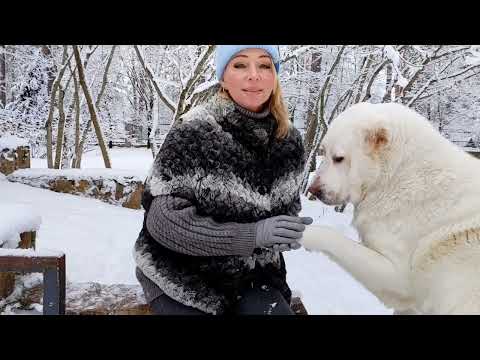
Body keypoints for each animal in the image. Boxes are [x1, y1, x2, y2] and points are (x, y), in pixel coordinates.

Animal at [304, 102, 480, 316]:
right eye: (323, 151)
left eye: (338, 158)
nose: (312, 190)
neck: (396, 176)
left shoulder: (397, 278)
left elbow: (332, 237)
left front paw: (304, 233)